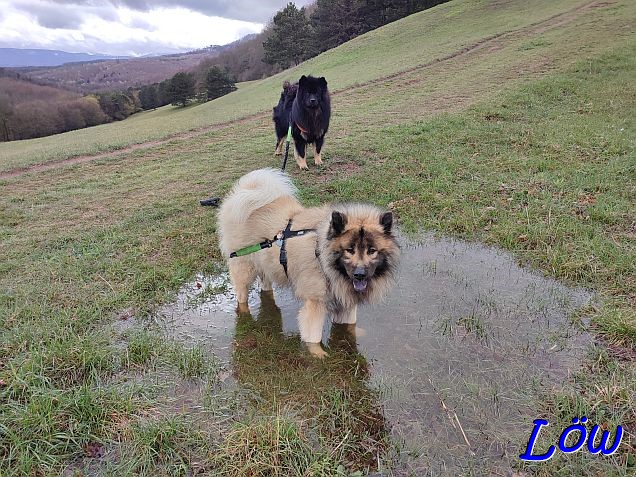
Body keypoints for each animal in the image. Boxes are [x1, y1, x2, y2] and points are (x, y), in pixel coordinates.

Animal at [219, 169, 398, 356]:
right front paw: (318, 354)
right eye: (350, 250)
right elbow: (313, 336)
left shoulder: (345, 302)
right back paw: (245, 317)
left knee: (265, 286)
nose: (360, 275)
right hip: (243, 268)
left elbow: (349, 326)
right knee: (241, 297)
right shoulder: (315, 303)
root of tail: (244, 192)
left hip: (267, 265)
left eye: (372, 251)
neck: (322, 257)